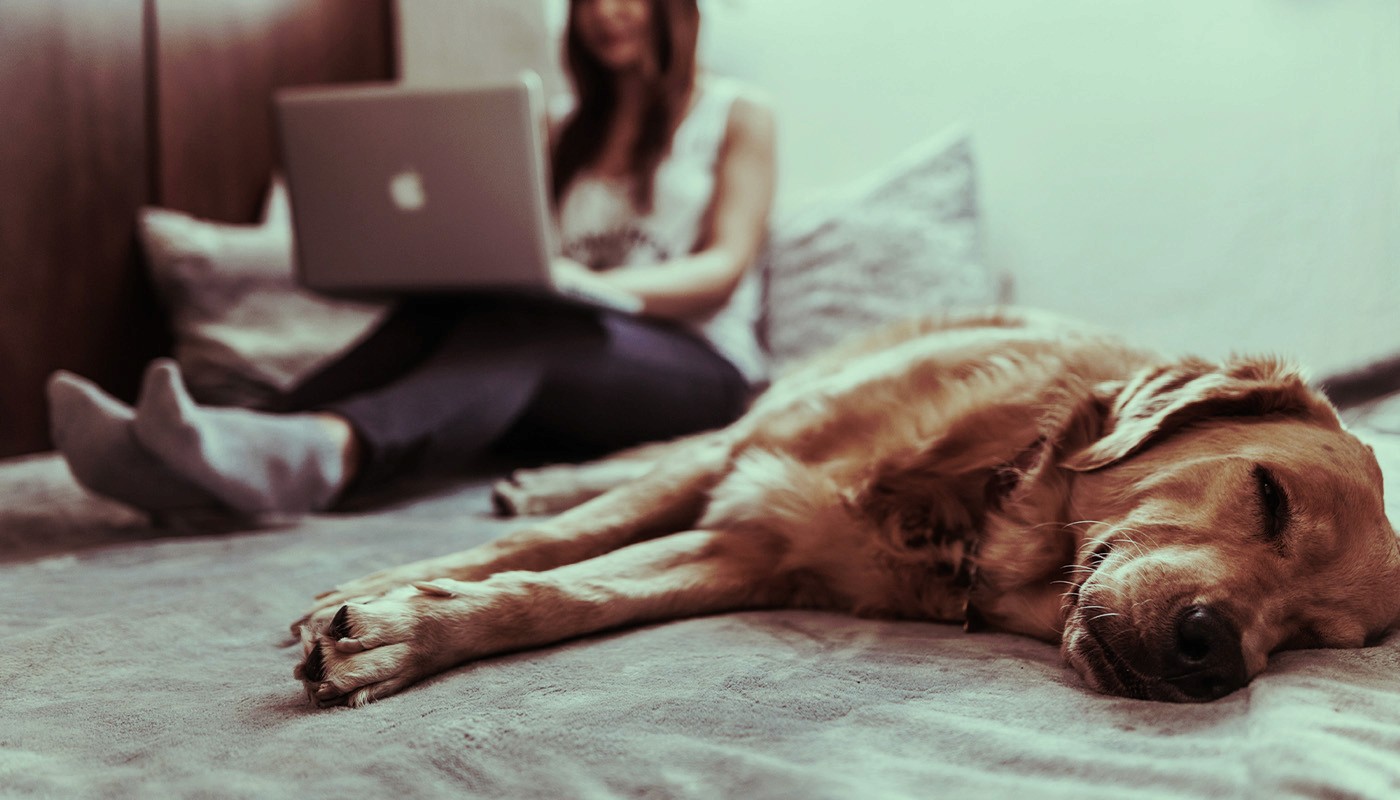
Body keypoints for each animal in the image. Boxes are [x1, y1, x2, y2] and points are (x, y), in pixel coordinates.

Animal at [292, 308, 1400, 706]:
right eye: (1266, 494)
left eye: (1312, 636)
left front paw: (402, 630)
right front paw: (388, 592)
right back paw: (542, 475)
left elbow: (564, 594)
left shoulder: (741, 552)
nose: (1214, 652)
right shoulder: (744, 465)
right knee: (648, 459)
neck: (973, 499)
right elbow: (563, 540)